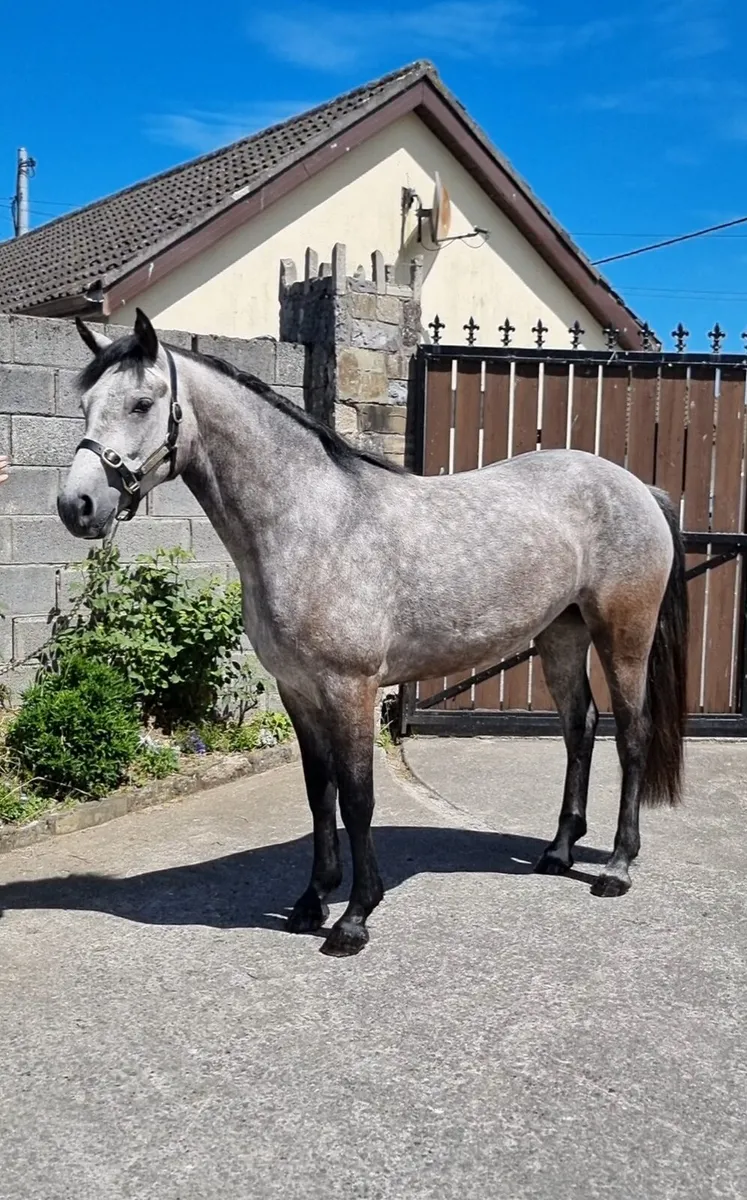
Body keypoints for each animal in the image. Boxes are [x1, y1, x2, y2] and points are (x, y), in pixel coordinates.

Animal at [58, 310, 688, 957]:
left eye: (142, 403)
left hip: (623, 636)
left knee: (631, 735)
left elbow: (358, 796)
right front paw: (311, 902)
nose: (76, 505)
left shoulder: (351, 689)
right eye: (84, 404)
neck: (309, 521)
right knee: (579, 728)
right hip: (562, 636)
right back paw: (558, 852)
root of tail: (639, 488)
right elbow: (320, 793)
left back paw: (616, 867)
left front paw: (355, 917)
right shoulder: (298, 691)